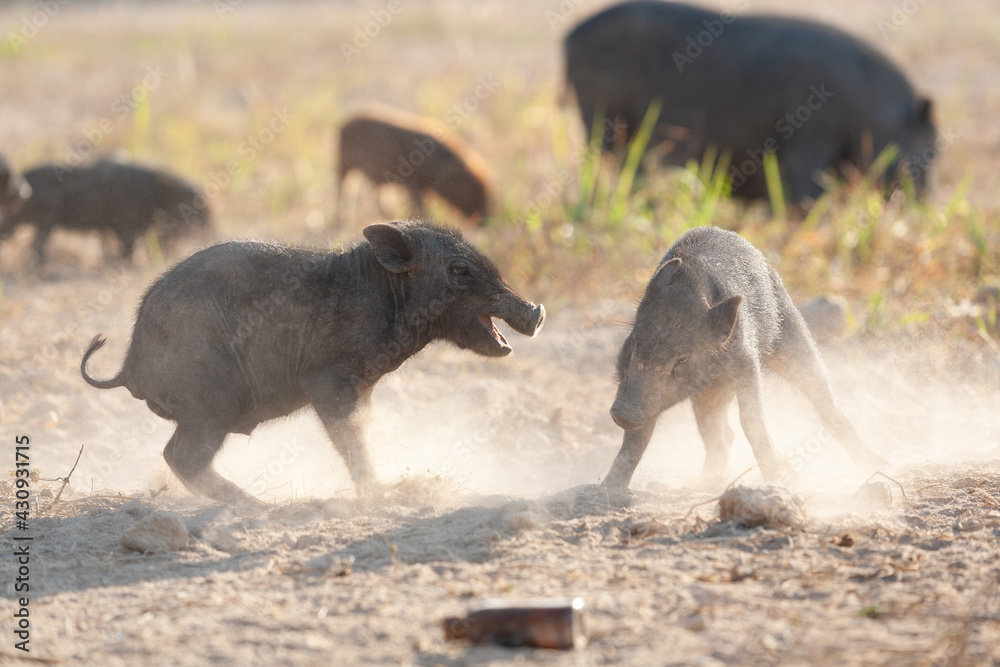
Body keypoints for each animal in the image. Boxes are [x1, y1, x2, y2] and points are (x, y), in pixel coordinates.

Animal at [0, 157, 211, 265]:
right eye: (197, 208)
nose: (208, 231)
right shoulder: (125, 225)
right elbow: (127, 248)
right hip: (43, 221)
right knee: (37, 245)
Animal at [81, 220, 545, 505]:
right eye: (460, 270)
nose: (536, 311)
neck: (381, 294)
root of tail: (129, 367)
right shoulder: (327, 382)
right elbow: (349, 437)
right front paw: (383, 495)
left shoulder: (362, 387)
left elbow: (362, 428)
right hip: (211, 407)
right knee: (183, 458)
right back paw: (262, 507)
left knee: (173, 454)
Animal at [336, 108, 494, 226]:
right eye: (470, 190)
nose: (485, 220)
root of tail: (344, 123)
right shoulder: (414, 184)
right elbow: (420, 206)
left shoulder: (422, 189)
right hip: (343, 164)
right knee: (344, 188)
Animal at [564, 1, 937, 203]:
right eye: (931, 152)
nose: (922, 205)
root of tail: (569, 36)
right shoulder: (811, 138)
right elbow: (810, 190)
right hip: (604, 117)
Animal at [602, 226, 887, 488]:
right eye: (634, 342)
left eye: (682, 359)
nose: (623, 412)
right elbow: (636, 440)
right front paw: (608, 488)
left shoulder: (747, 364)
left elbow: (751, 420)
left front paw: (779, 481)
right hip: (709, 395)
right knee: (720, 434)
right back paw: (707, 482)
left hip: (792, 336)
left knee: (824, 400)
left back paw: (878, 464)